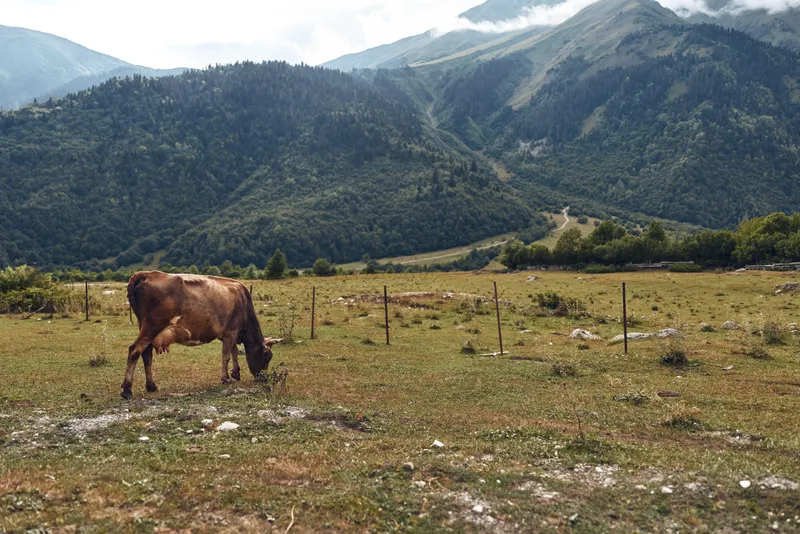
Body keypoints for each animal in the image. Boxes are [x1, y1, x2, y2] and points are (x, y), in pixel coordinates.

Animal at [122, 270, 276, 400]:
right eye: (267, 356)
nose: (264, 379)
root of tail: (146, 274)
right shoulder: (231, 330)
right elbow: (226, 355)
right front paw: (225, 378)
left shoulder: (229, 332)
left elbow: (234, 351)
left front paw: (236, 373)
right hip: (152, 326)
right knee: (134, 351)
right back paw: (127, 390)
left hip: (145, 327)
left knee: (146, 354)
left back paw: (151, 386)